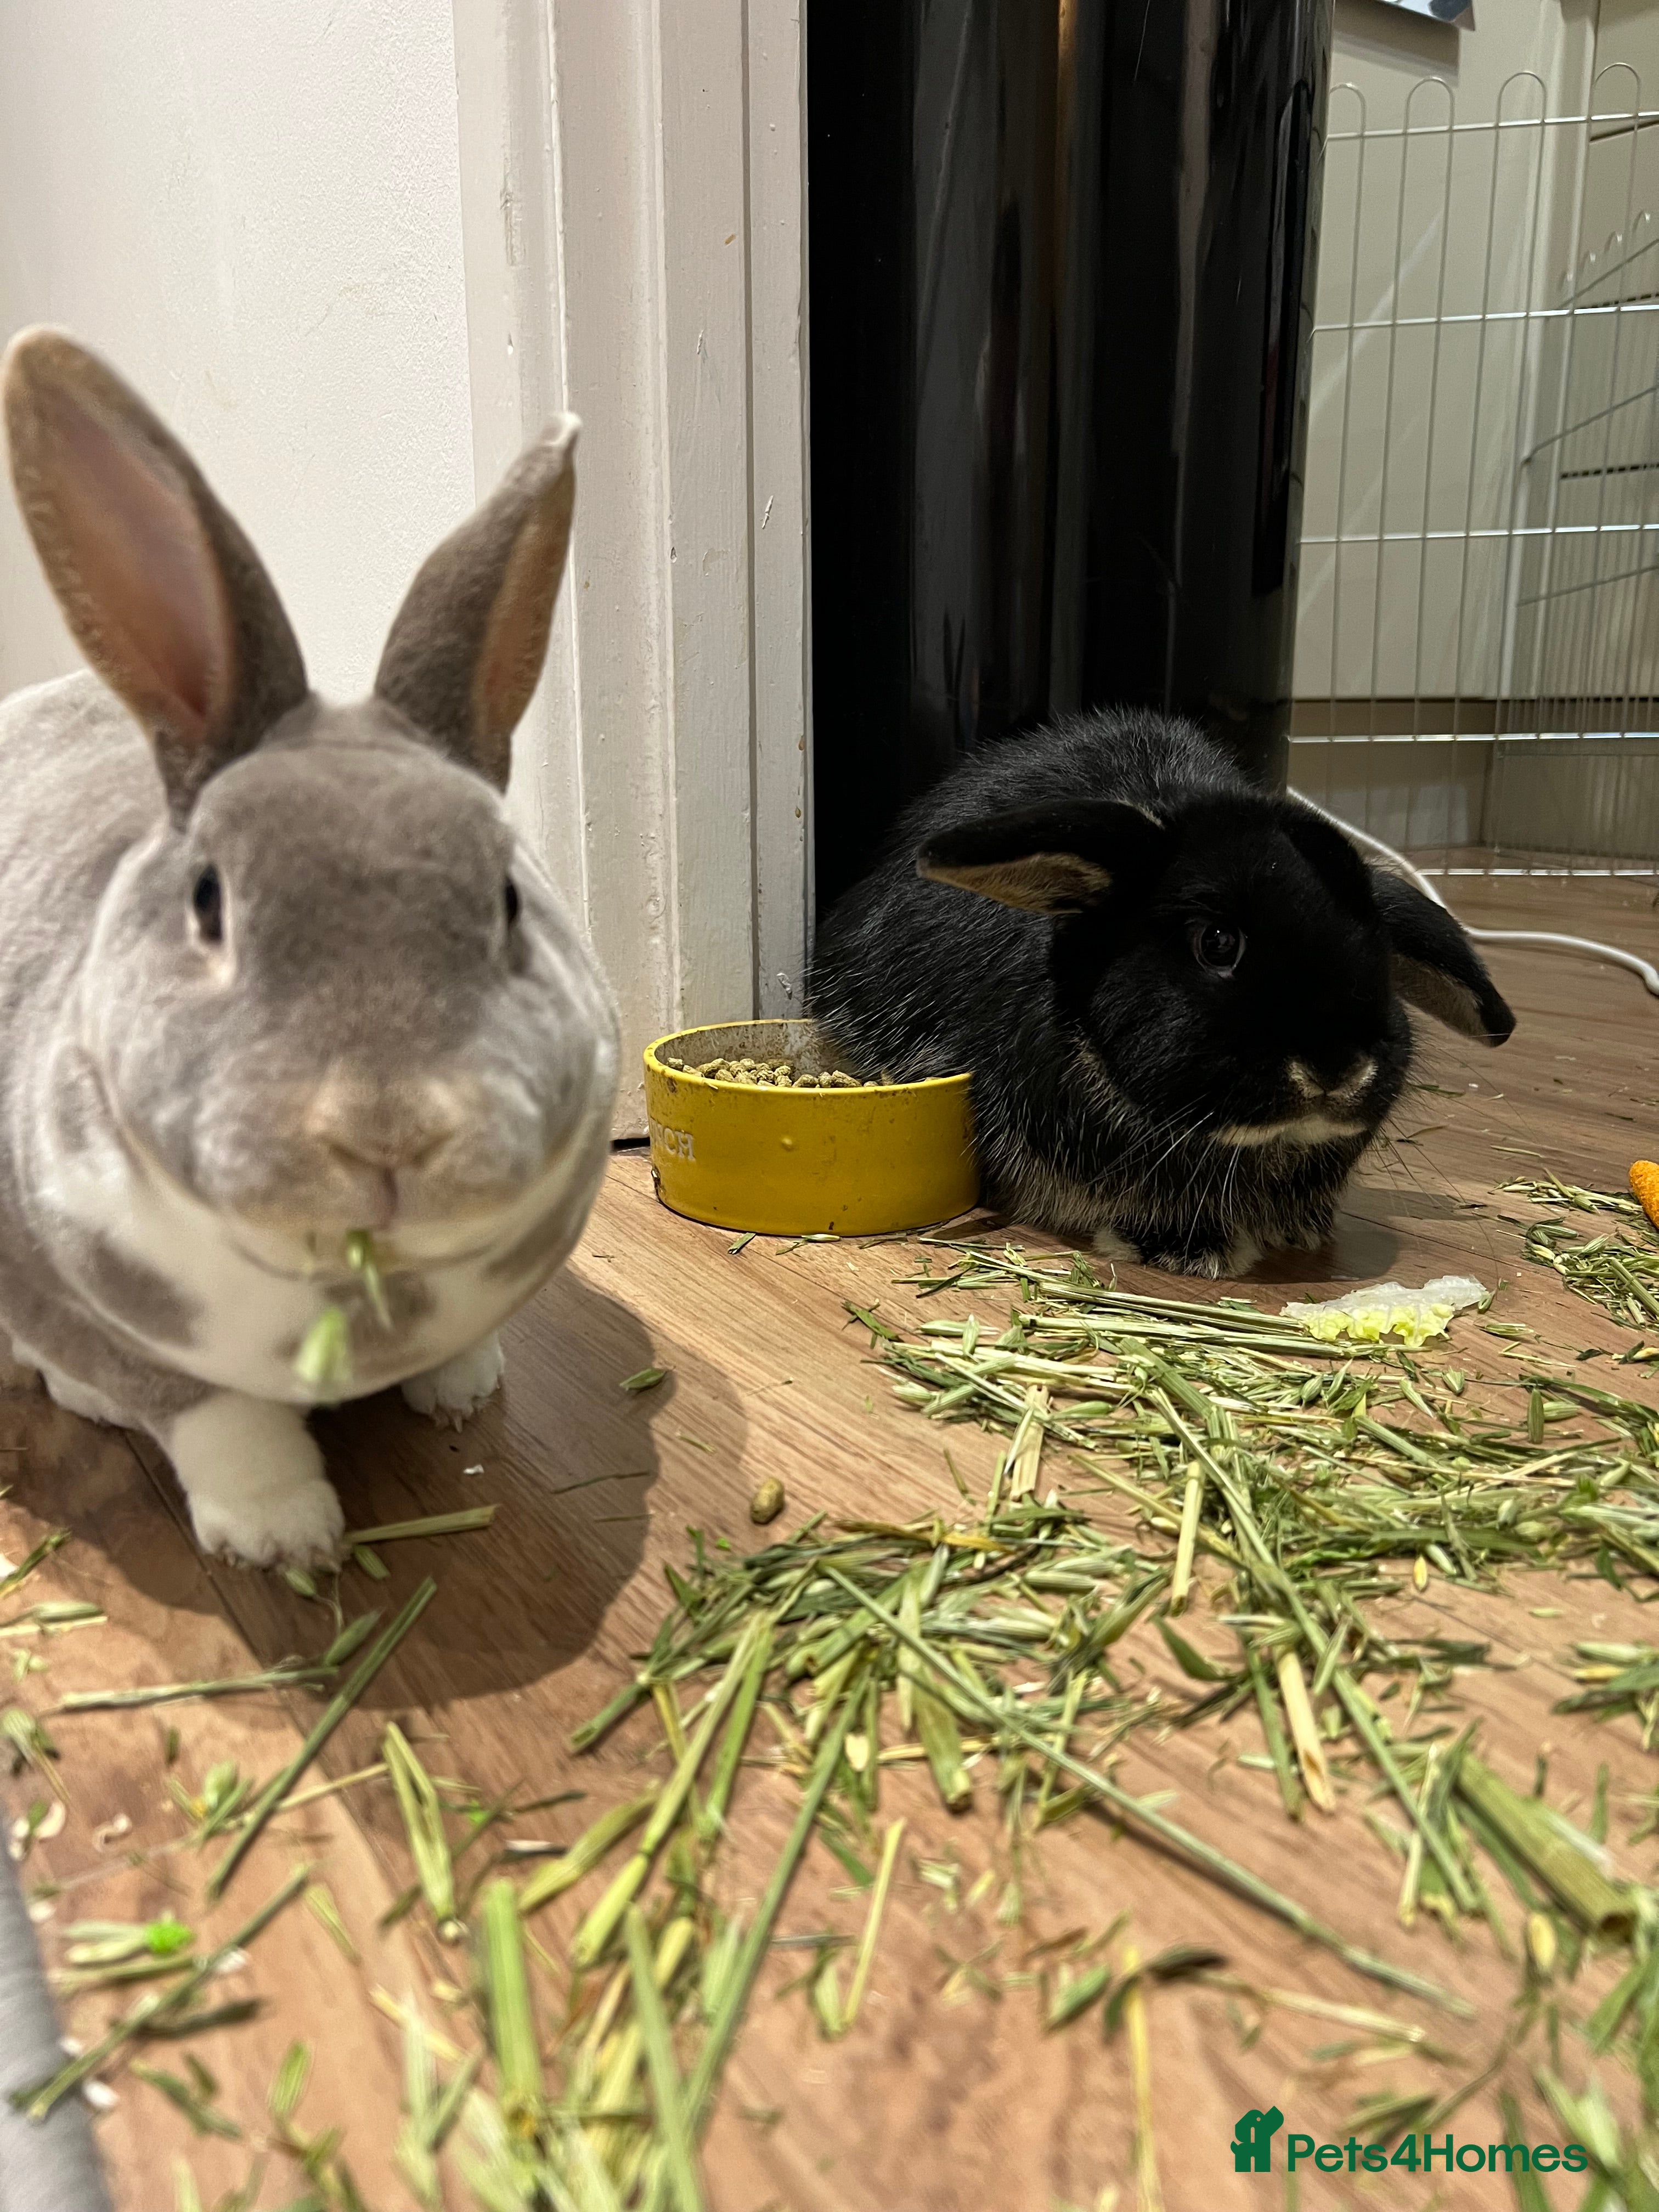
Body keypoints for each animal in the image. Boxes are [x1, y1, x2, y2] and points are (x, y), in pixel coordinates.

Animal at [0, 329, 619, 1566]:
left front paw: (461, 1393)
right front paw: (282, 1539)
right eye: (209, 904)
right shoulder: (77, 1296)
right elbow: (216, 1421)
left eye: (509, 899)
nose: (388, 1132)